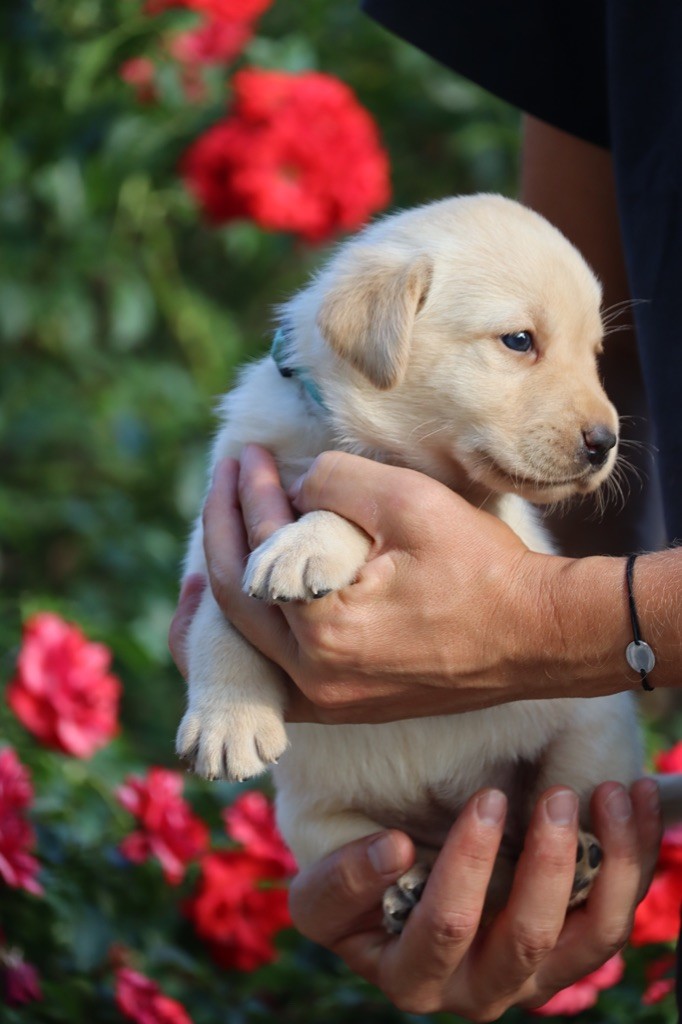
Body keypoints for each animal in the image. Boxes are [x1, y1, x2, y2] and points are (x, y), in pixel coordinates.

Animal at [176, 192, 643, 929]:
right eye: (519, 341)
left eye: (594, 352)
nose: (605, 443)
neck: (347, 436)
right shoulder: (211, 538)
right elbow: (217, 620)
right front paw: (228, 719)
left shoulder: (470, 513)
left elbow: (358, 509)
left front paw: (306, 542)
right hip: (309, 818)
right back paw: (414, 883)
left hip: (595, 730)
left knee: (559, 805)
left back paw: (574, 860)